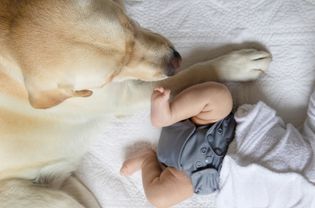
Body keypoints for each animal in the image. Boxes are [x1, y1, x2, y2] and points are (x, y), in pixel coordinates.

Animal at [0, 0, 272, 206]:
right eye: (111, 75)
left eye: (128, 23)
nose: (174, 62)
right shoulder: (121, 98)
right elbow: (194, 72)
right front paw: (238, 65)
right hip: (54, 199)